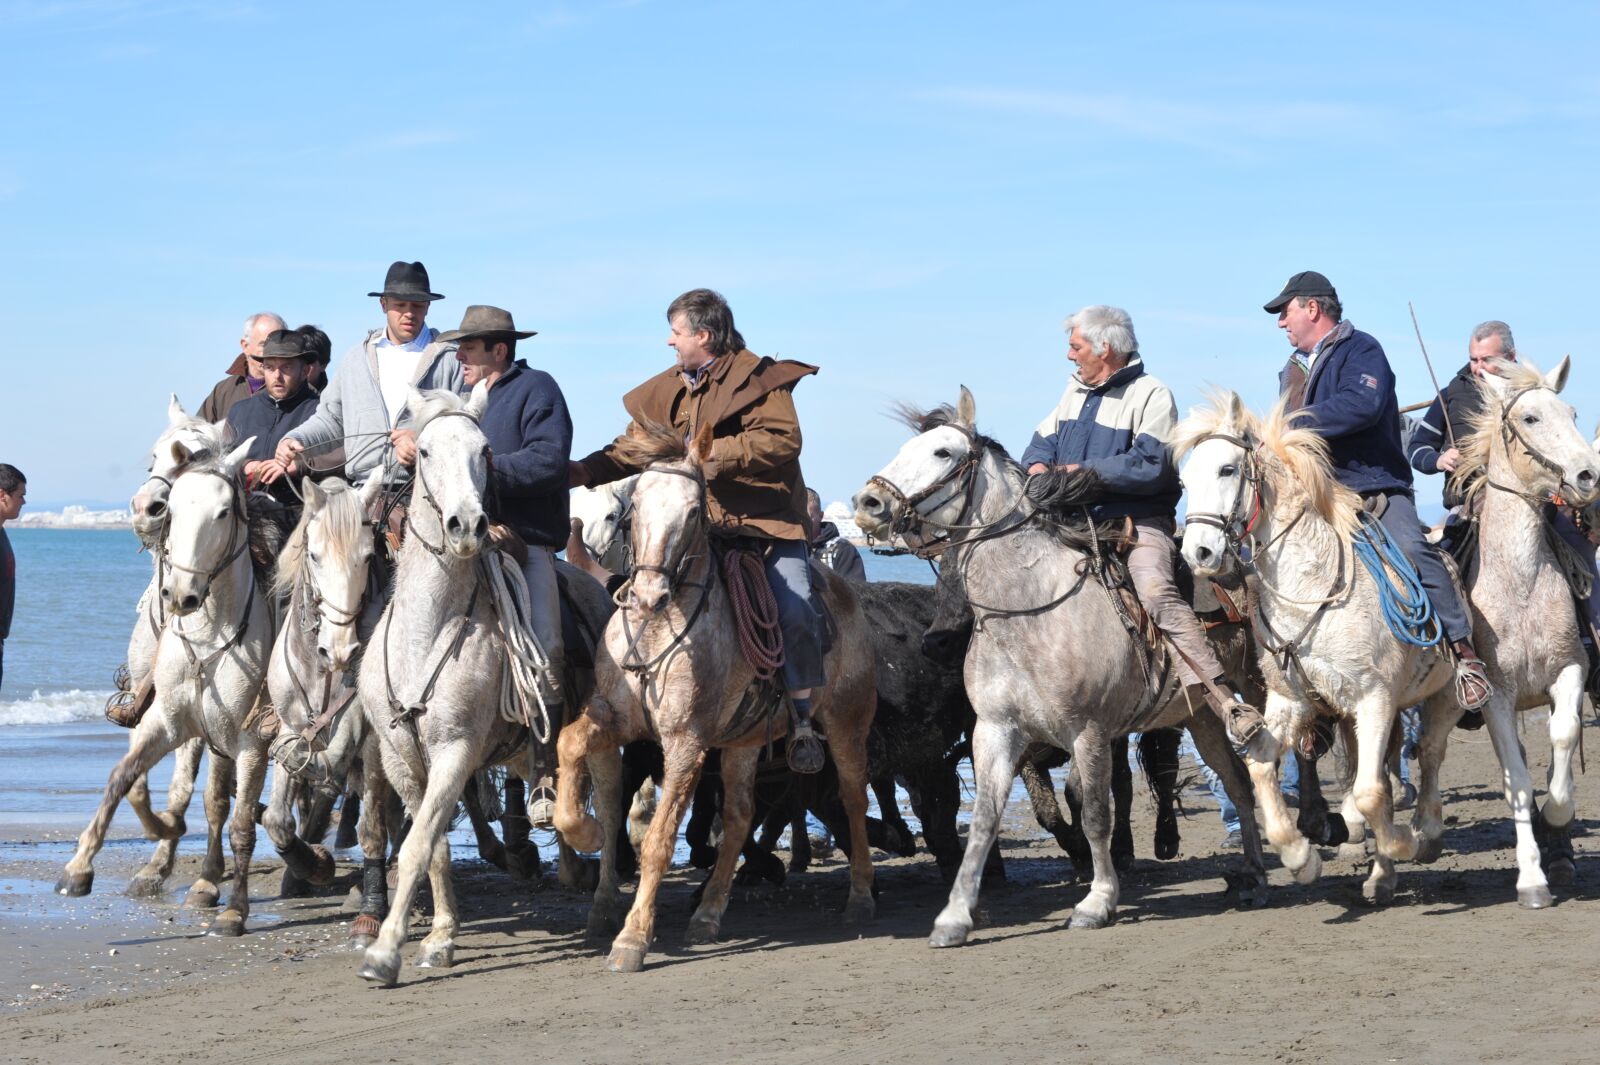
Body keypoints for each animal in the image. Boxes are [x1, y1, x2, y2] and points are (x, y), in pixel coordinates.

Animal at [57, 431, 275, 927]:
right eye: (174, 508)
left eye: (224, 511)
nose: (179, 595)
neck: (211, 632)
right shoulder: (170, 721)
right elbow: (128, 782)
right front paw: (81, 867)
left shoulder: (250, 741)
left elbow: (238, 820)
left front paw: (235, 910)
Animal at [1452, 358, 1600, 901]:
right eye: (1530, 418)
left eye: (1573, 412)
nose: (1588, 473)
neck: (1520, 584)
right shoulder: (1495, 694)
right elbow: (1514, 776)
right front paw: (1531, 877)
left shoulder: (1569, 671)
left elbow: (1563, 737)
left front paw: (1556, 821)